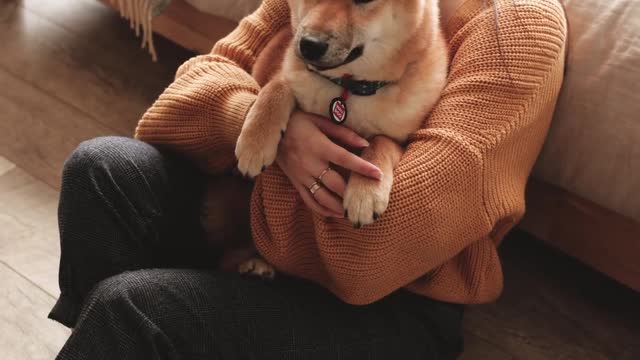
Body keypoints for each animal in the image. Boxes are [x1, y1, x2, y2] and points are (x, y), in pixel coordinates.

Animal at [232, 0, 448, 278]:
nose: (309, 45)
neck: (348, 89)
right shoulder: (291, 73)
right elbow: (277, 87)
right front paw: (255, 142)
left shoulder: (402, 139)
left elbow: (380, 142)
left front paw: (366, 191)